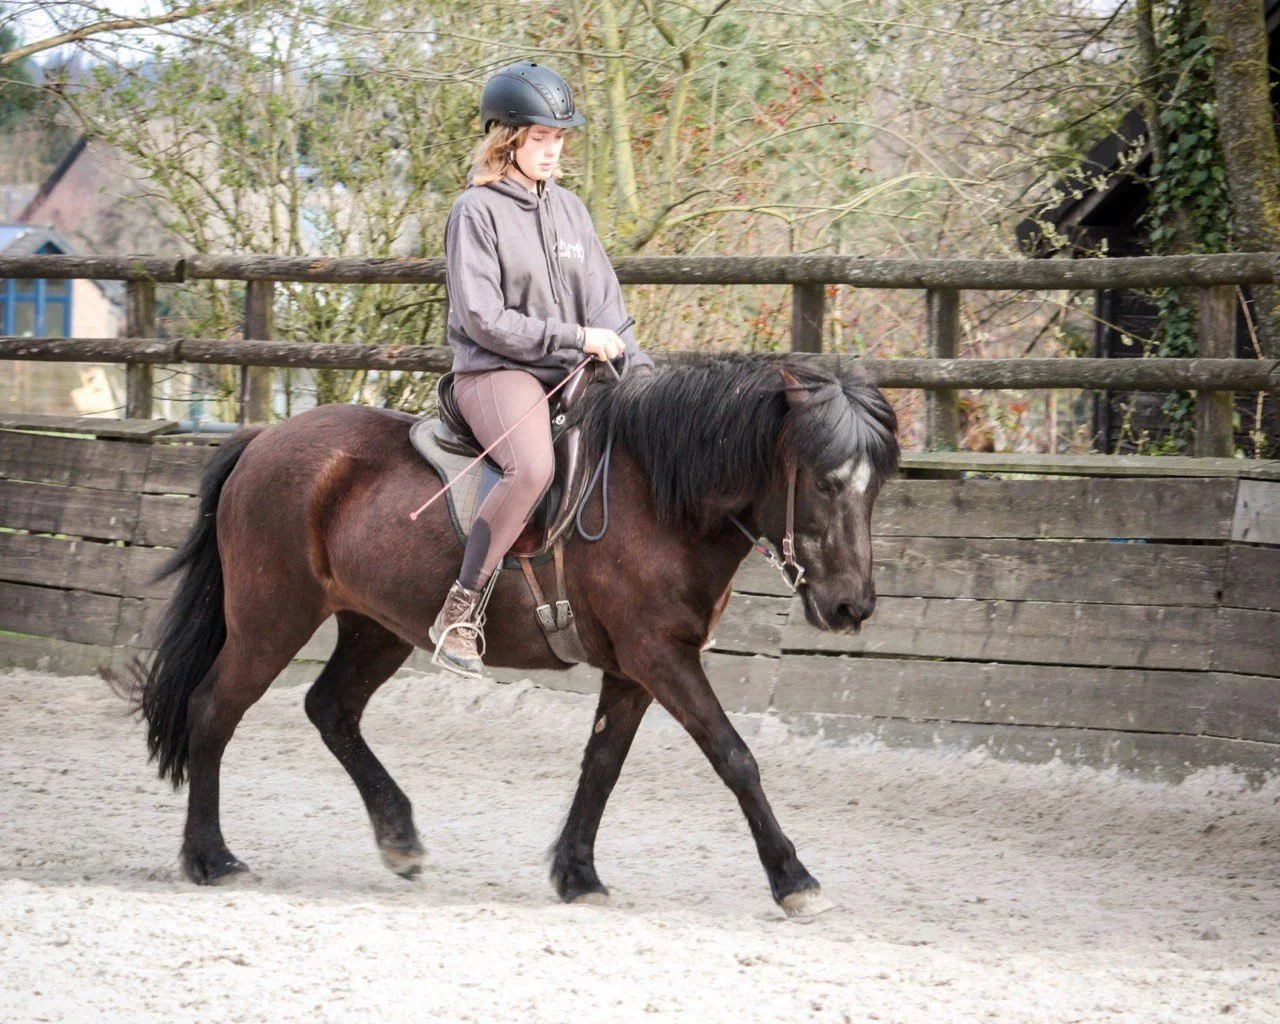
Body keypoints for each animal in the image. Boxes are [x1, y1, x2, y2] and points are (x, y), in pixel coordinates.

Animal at [115, 353, 899, 918]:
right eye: (825, 482)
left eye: (875, 488)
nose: (851, 606)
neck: (658, 497)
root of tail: (262, 441)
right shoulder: (659, 656)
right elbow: (735, 757)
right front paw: (794, 879)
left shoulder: (634, 667)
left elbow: (601, 765)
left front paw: (578, 874)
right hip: (272, 619)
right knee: (213, 710)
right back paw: (212, 858)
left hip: (378, 627)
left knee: (330, 709)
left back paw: (399, 838)